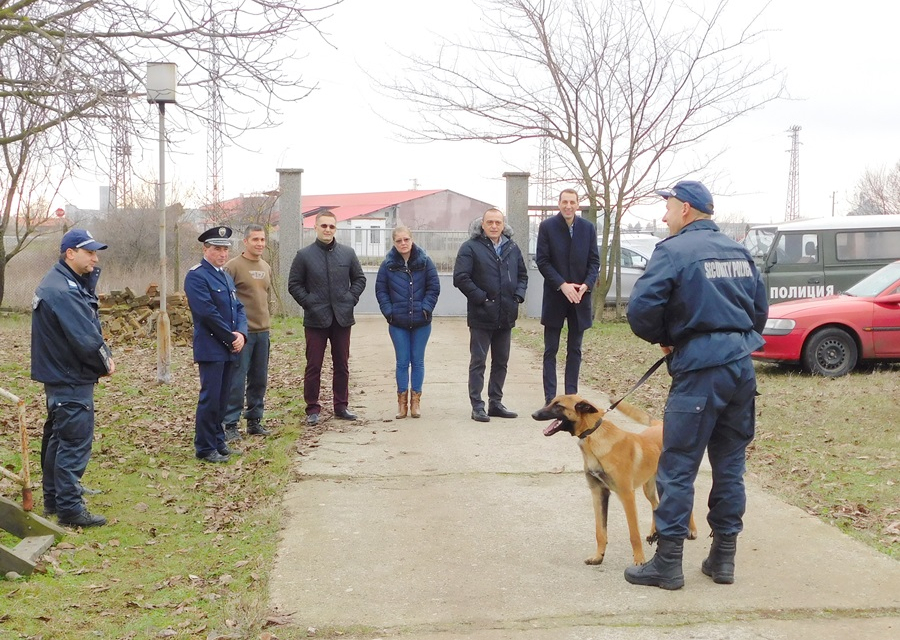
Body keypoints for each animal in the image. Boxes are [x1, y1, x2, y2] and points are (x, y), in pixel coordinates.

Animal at [532, 396, 700, 564]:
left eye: (558, 406)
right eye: (551, 402)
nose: (534, 414)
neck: (594, 434)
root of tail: (659, 424)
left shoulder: (627, 495)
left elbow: (634, 534)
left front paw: (639, 559)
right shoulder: (598, 493)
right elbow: (600, 531)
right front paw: (598, 556)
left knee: (684, 501)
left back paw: (691, 530)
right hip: (649, 488)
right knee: (656, 504)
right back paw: (654, 532)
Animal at [624, 180, 768, 592]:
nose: (664, 217)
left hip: (689, 414)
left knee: (677, 485)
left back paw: (663, 567)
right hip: (736, 415)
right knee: (728, 486)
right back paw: (720, 564)